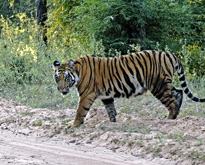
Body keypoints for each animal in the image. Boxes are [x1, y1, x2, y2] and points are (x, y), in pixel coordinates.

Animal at [53, 50, 205, 127]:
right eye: (57, 78)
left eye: (66, 78)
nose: (61, 89)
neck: (77, 72)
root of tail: (170, 54)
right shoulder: (106, 96)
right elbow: (111, 110)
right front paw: (112, 123)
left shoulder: (86, 95)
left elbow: (80, 111)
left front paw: (73, 126)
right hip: (164, 83)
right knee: (179, 92)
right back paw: (176, 116)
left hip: (158, 85)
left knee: (172, 102)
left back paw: (169, 119)